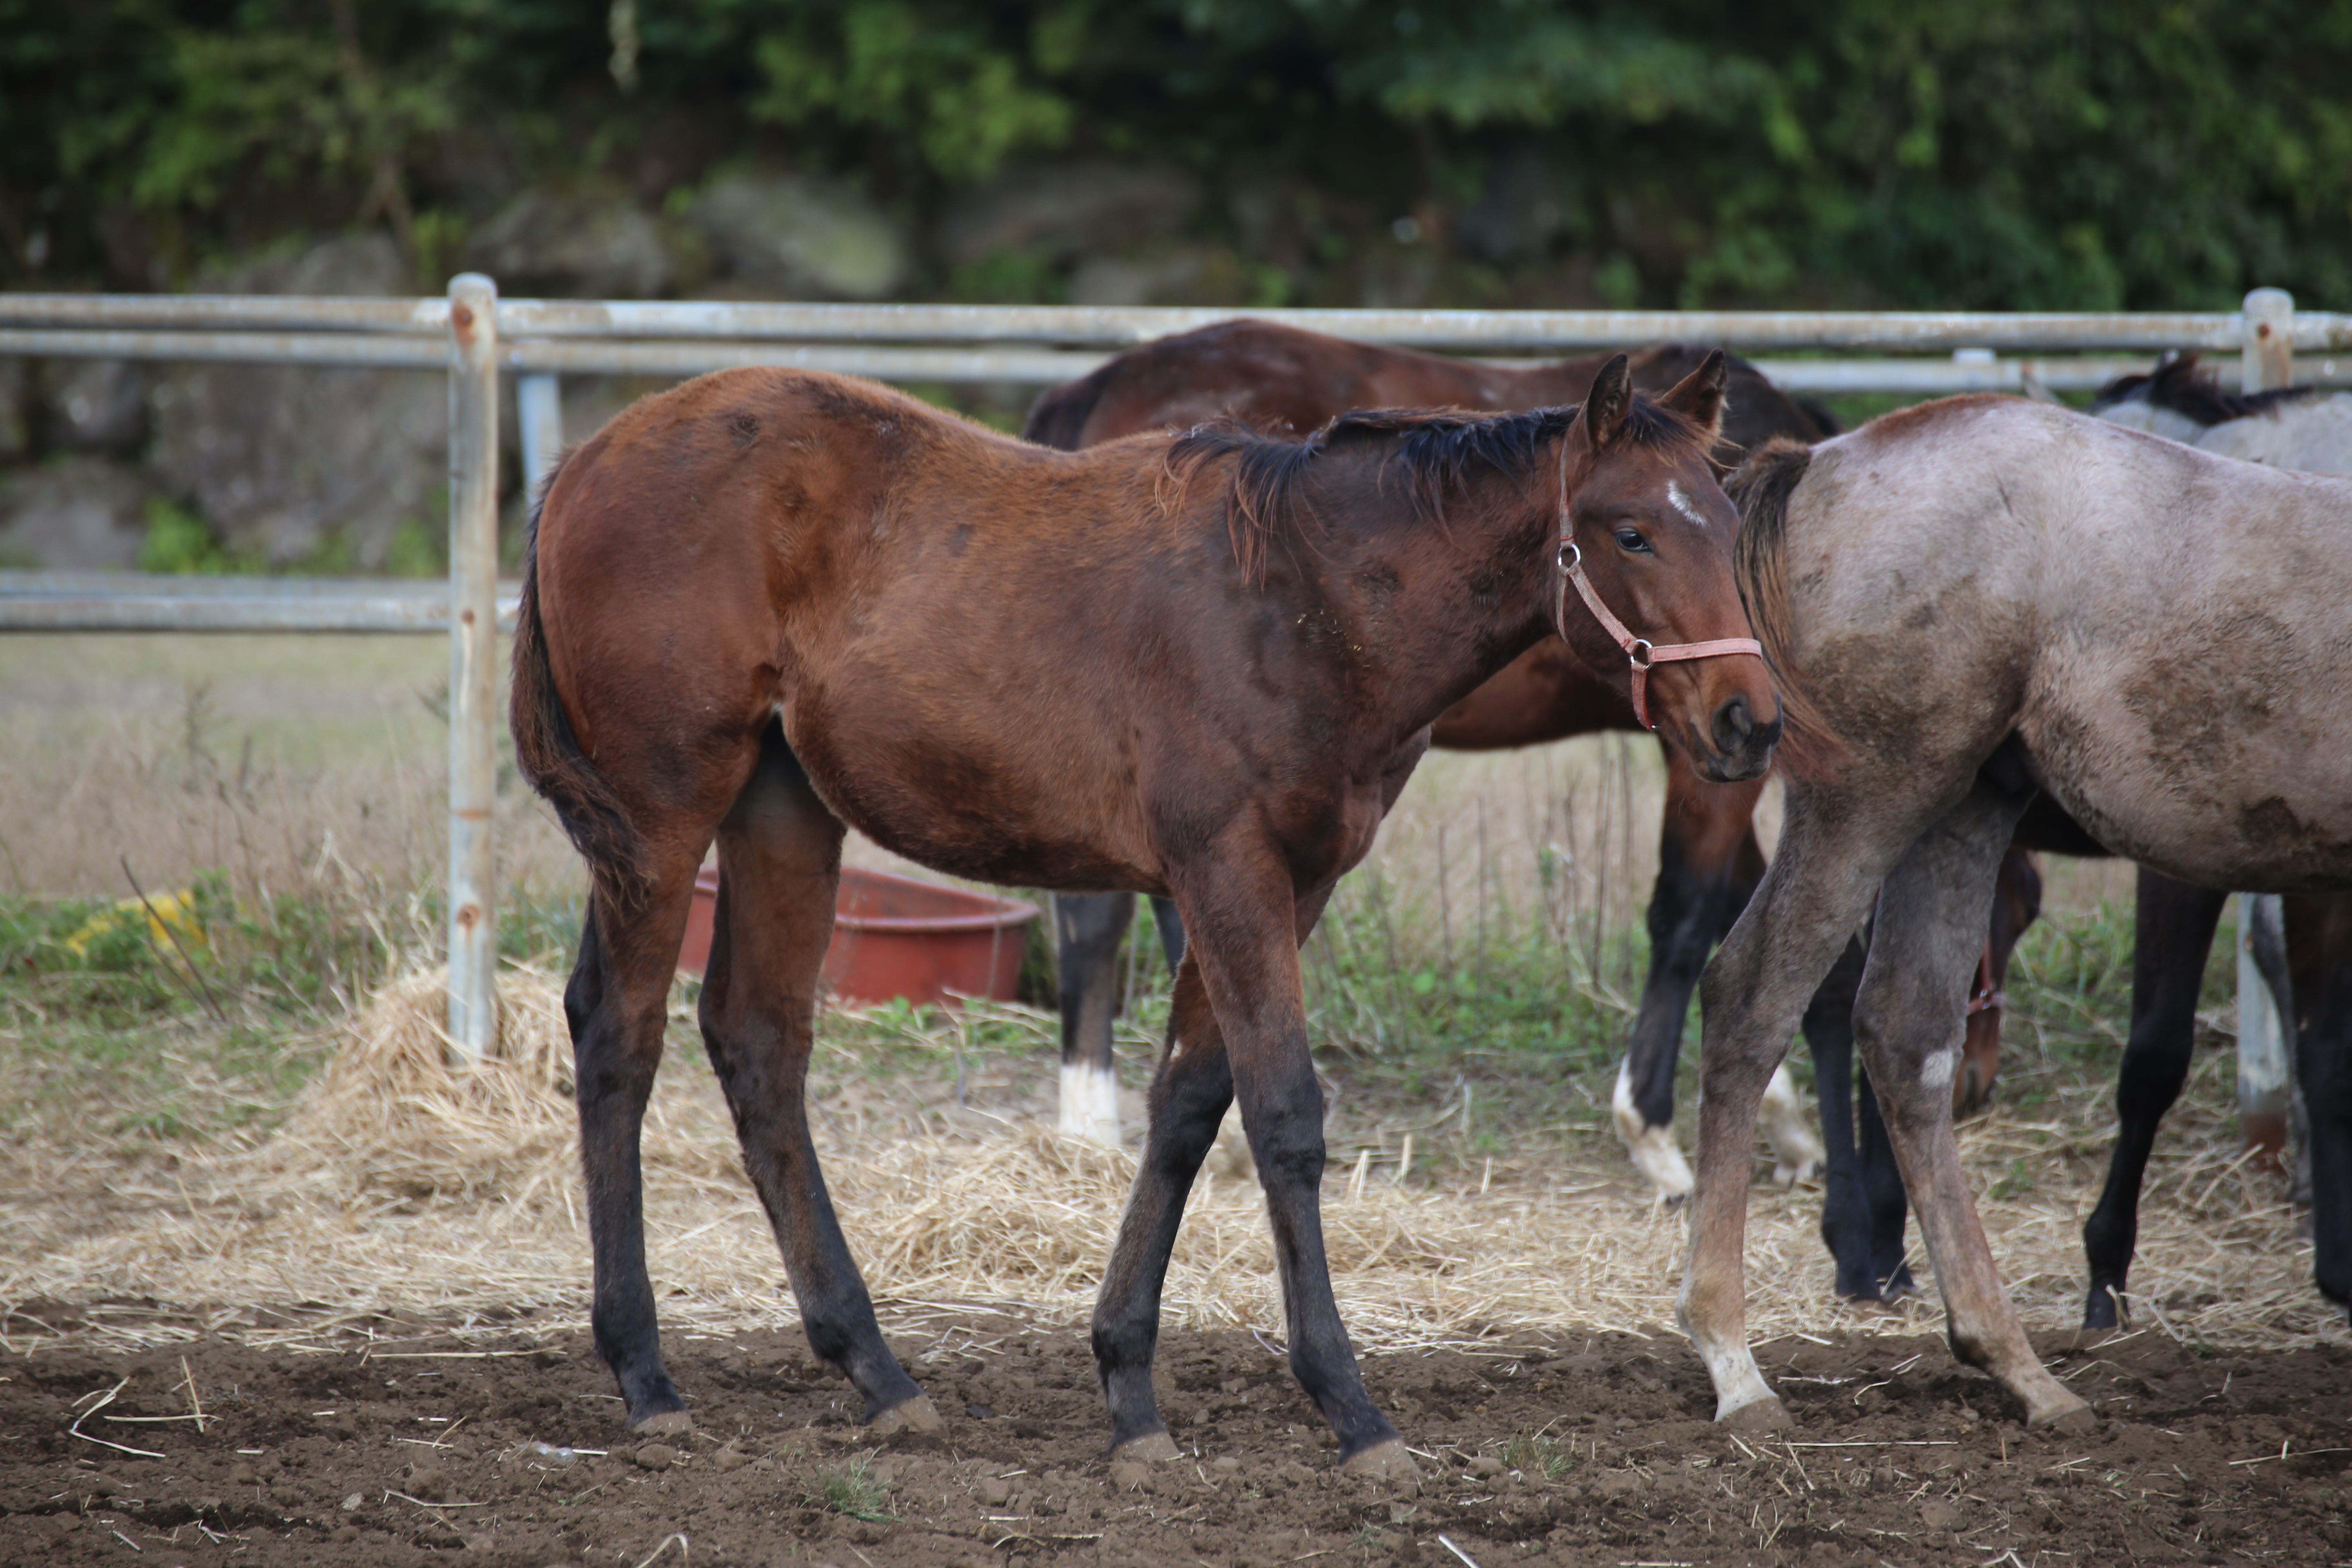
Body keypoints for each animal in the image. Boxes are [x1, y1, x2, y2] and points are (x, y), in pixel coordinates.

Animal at [510, 355, 1768, 1476]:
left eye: (1724, 522)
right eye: (1631, 532)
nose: (1748, 721)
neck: (1303, 602)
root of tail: (582, 464)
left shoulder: (1288, 885)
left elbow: (1188, 1107)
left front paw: (1129, 1391)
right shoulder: (1228, 871)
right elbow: (1283, 1115)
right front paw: (1350, 1410)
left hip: (782, 808)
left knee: (758, 1041)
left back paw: (876, 1370)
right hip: (662, 816)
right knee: (620, 1036)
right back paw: (647, 1378)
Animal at [1703, 395, 2352, 1439]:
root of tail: (1817, 462)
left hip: (1961, 806)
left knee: (1902, 1034)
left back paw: (2011, 1361)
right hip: (1869, 800)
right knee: (1751, 998)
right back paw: (1732, 1359)